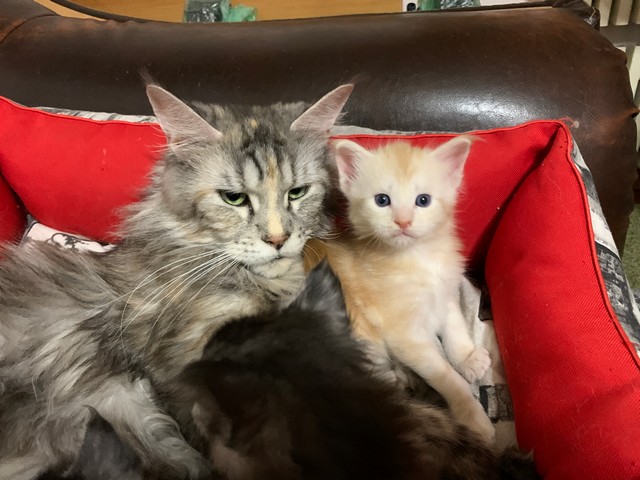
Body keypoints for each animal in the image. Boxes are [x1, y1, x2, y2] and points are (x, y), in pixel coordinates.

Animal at [311, 138, 496, 443]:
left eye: (423, 200)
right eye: (382, 200)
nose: (403, 222)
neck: (417, 257)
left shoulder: (445, 292)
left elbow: (455, 326)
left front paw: (467, 358)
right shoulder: (404, 334)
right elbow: (445, 375)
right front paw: (472, 415)